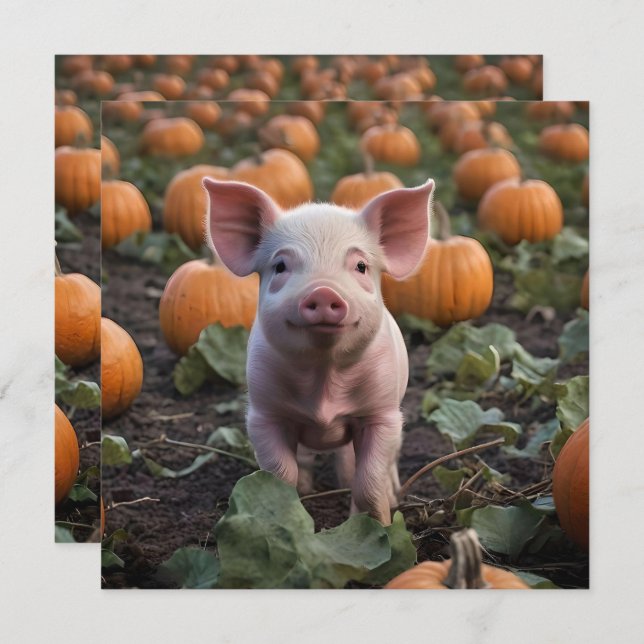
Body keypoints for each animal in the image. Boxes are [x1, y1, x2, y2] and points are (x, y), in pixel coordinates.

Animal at [203, 178, 435, 525]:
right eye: (280, 266)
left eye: (361, 266)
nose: (324, 291)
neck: (324, 377)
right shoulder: (263, 415)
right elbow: (280, 475)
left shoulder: (383, 413)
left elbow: (369, 482)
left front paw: (379, 526)